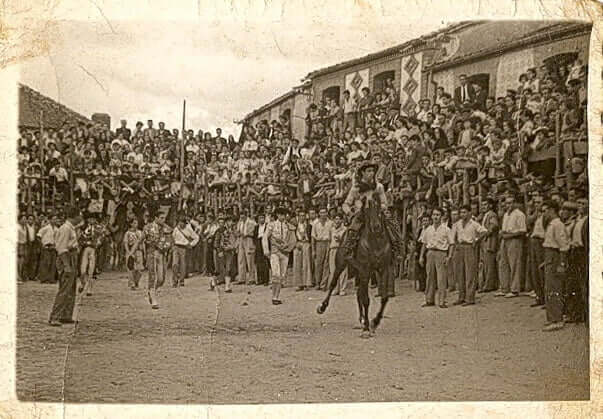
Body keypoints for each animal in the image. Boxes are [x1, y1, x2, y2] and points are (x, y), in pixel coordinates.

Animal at [318, 199, 394, 338]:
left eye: (380, 209)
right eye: (366, 210)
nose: (376, 227)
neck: (376, 243)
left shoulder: (383, 269)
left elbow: (384, 298)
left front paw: (374, 322)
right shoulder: (365, 269)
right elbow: (366, 300)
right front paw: (366, 328)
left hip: (362, 272)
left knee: (359, 292)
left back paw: (362, 319)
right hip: (341, 264)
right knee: (333, 284)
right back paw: (322, 307)